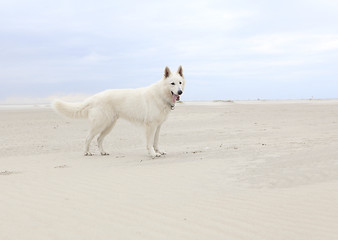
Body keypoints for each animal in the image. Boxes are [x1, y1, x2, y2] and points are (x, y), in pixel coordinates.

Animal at [52, 65, 185, 158]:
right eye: (172, 83)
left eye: (180, 83)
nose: (180, 92)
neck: (161, 94)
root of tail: (95, 97)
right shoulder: (150, 126)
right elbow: (149, 142)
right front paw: (152, 154)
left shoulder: (158, 126)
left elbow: (155, 141)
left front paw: (158, 151)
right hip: (100, 124)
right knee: (87, 138)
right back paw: (87, 153)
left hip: (109, 125)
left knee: (99, 139)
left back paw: (103, 152)